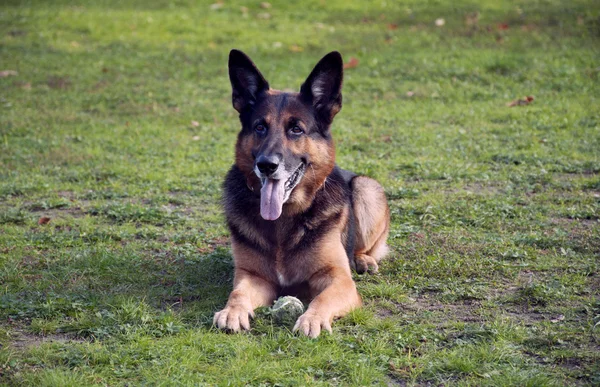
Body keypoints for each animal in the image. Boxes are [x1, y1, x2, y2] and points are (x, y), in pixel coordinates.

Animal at [213, 50, 392, 338]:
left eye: (296, 129)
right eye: (260, 127)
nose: (266, 165)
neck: (284, 219)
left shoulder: (339, 279)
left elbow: (323, 298)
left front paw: (312, 318)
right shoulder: (253, 277)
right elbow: (237, 294)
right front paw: (232, 311)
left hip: (367, 188)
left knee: (366, 248)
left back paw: (363, 260)